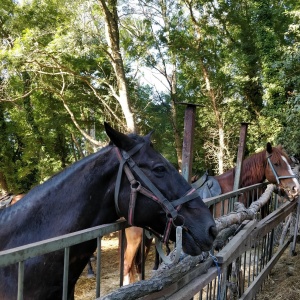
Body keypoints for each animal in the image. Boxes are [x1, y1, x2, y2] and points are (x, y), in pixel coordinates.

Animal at [122, 142, 300, 284]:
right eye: (276, 163)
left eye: (289, 162)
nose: (295, 188)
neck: (233, 187)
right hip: (135, 239)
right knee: (127, 264)